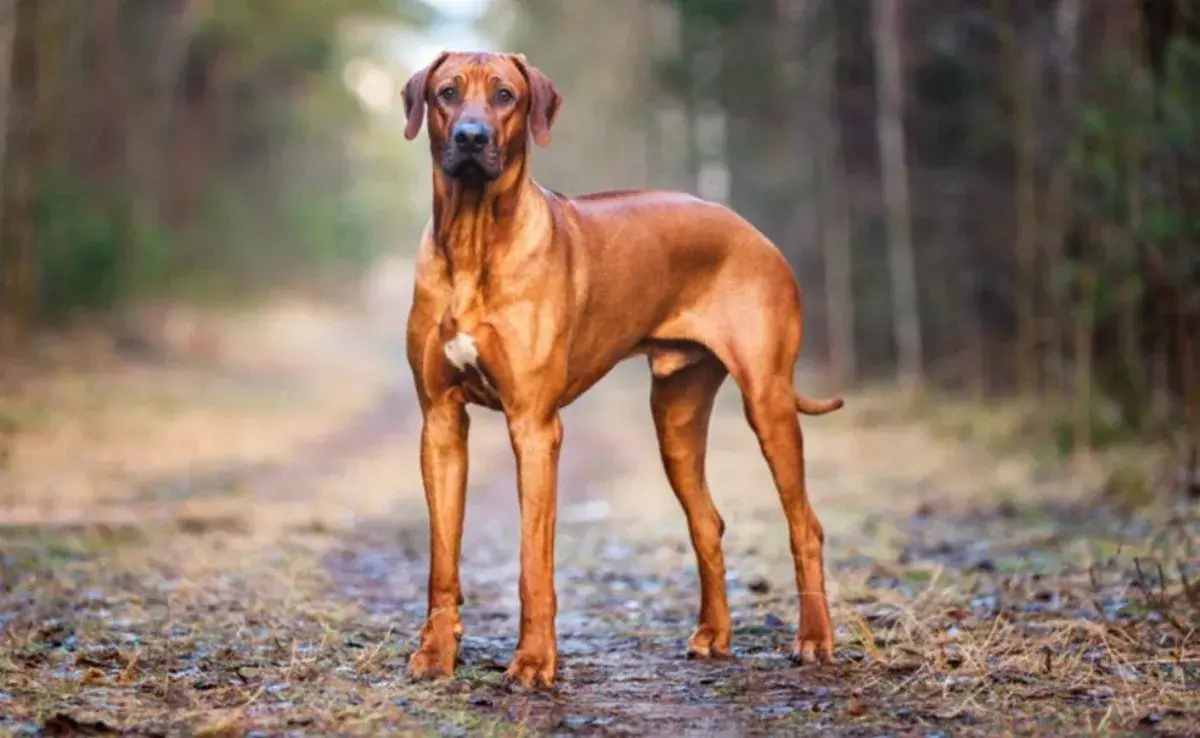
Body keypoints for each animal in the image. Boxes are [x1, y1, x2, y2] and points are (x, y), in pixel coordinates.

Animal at [398, 50, 840, 686]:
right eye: (447, 93)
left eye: (505, 96)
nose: (471, 136)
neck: (473, 239)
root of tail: (753, 231)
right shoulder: (439, 422)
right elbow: (441, 561)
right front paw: (436, 654)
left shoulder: (534, 426)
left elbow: (534, 563)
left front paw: (534, 661)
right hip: (676, 417)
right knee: (707, 522)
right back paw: (714, 635)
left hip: (769, 401)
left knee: (805, 524)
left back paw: (814, 639)